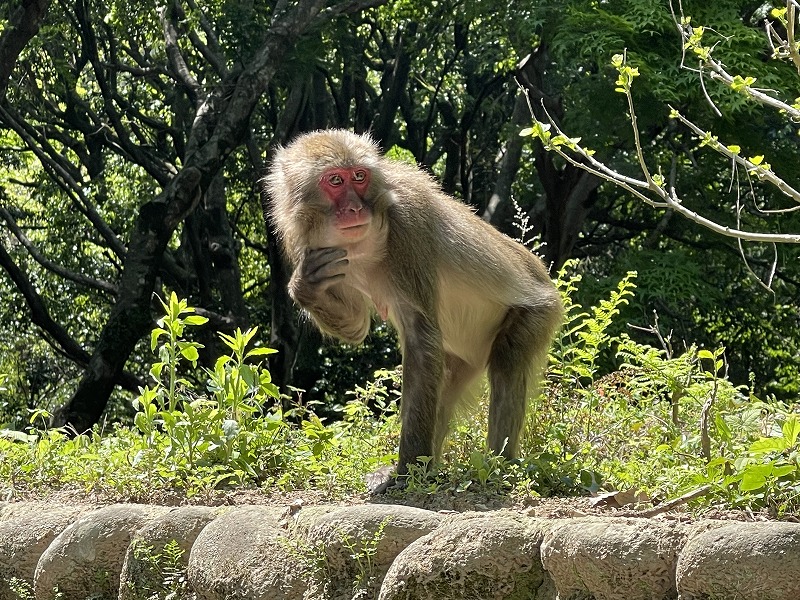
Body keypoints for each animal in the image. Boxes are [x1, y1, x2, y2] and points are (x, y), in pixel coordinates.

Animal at [268, 129, 564, 490]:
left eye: (360, 177)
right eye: (335, 180)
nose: (354, 207)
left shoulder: (408, 226)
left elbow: (421, 338)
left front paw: (405, 471)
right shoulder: (311, 246)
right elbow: (357, 325)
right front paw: (305, 285)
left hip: (540, 311)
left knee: (506, 360)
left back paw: (497, 465)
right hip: (463, 358)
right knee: (444, 381)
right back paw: (435, 464)